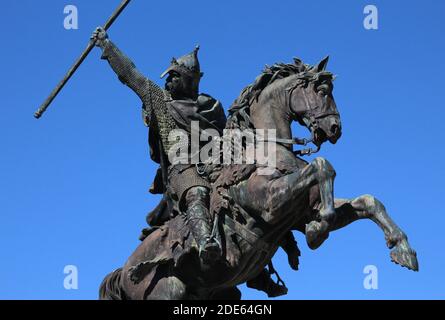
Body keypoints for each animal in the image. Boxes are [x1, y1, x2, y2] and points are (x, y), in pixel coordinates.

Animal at [99, 56, 416, 298]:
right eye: (323, 90)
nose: (335, 128)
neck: (265, 149)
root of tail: (123, 270)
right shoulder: (270, 204)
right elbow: (321, 166)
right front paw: (319, 230)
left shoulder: (301, 212)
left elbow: (367, 201)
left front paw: (402, 248)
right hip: (166, 291)